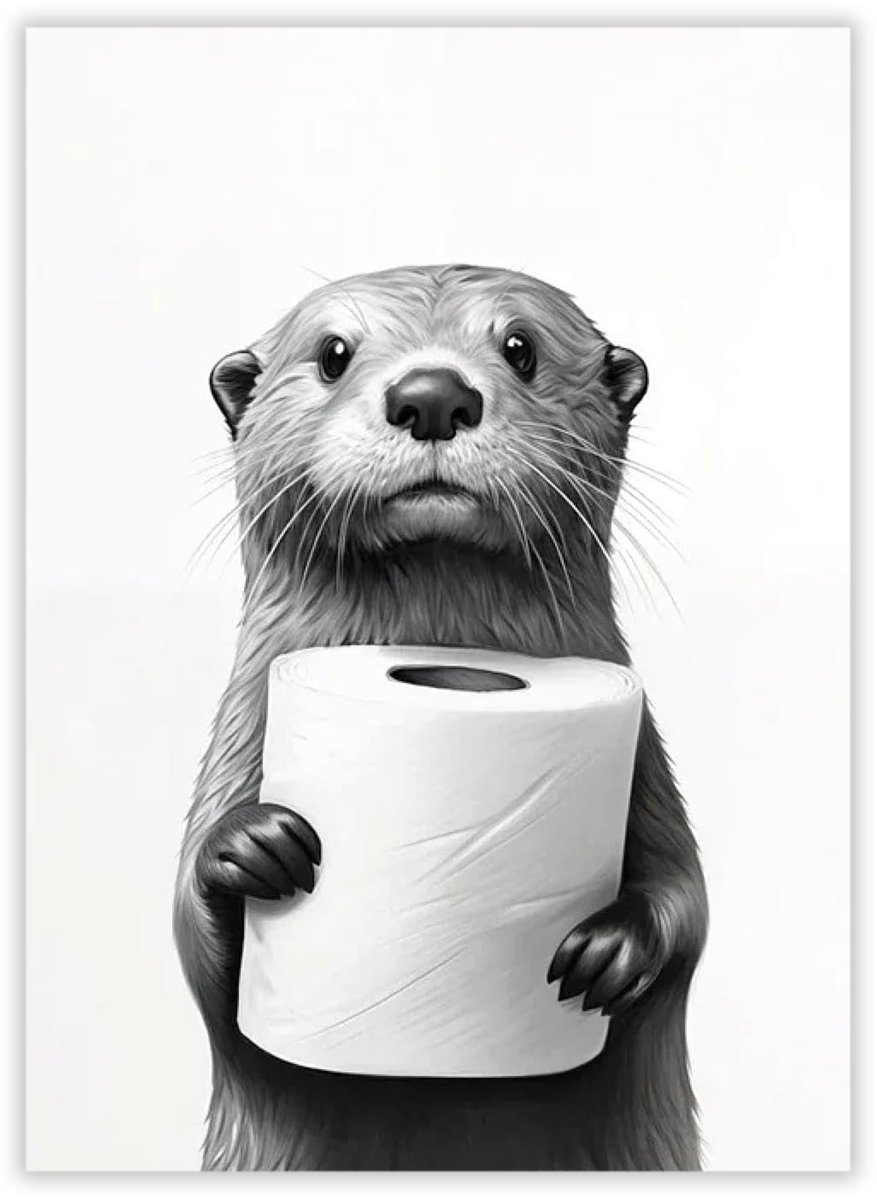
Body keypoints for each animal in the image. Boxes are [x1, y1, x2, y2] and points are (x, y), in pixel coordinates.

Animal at [174, 264, 707, 1171]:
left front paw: (612, 948)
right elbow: (197, 951)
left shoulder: (645, 767)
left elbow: (689, 903)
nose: (431, 394)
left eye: (520, 347)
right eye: (333, 352)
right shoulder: (237, 743)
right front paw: (249, 846)